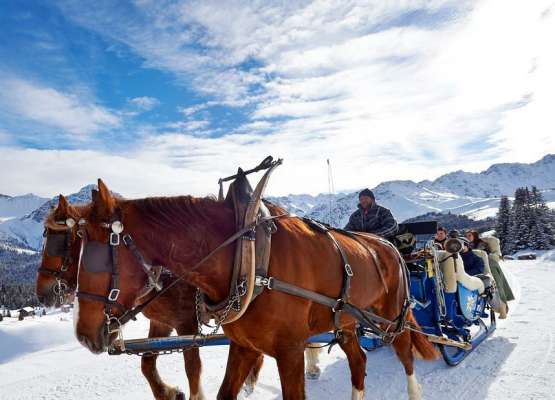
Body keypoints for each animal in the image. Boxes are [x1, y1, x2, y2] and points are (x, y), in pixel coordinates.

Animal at [75, 180, 438, 398]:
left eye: (99, 254)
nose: (84, 335)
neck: (248, 257)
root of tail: (389, 245)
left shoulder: (290, 350)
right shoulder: (245, 345)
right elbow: (224, 392)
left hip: (392, 317)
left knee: (405, 353)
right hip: (347, 322)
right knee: (359, 361)